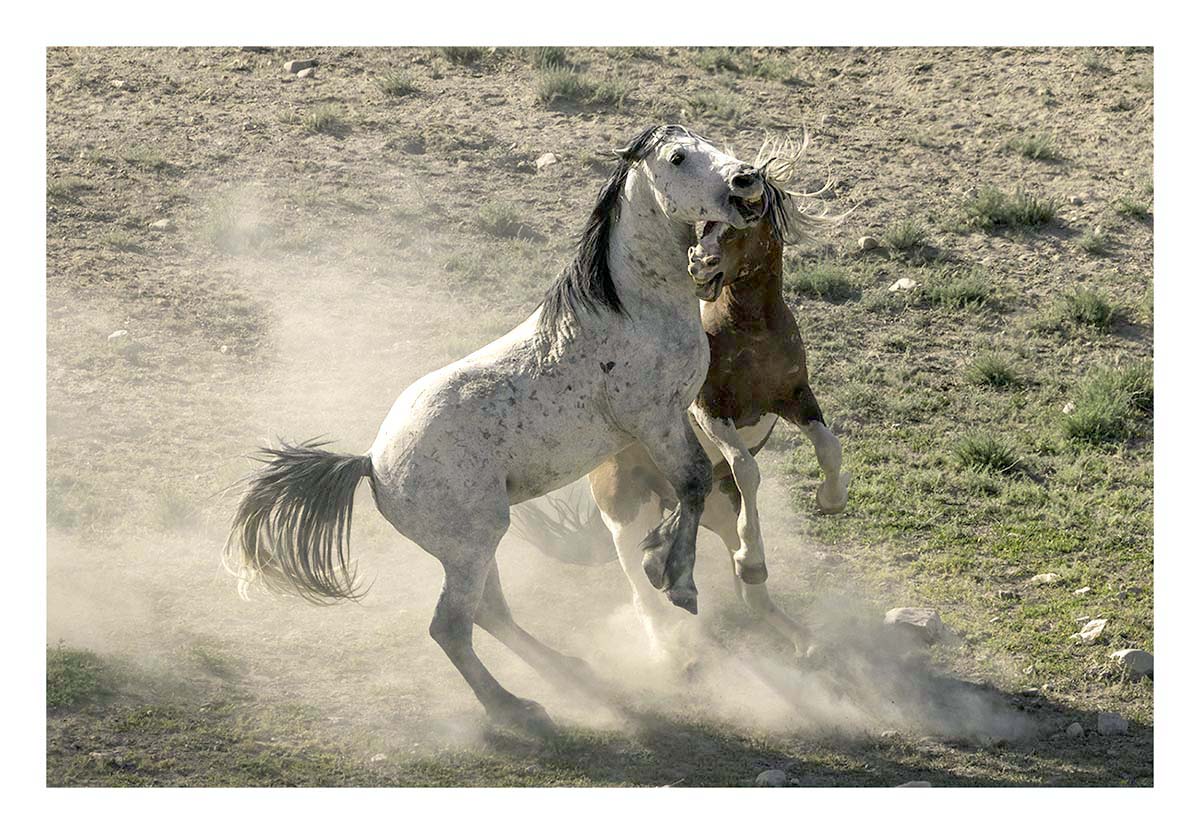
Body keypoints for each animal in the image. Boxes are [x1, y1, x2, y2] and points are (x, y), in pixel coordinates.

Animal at [225, 125, 802, 735]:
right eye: (678, 157)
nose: (747, 181)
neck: (633, 311)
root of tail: (372, 464)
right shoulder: (656, 420)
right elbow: (693, 483)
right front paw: (674, 577)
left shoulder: (677, 417)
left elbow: (707, 484)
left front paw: (681, 563)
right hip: (472, 545)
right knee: (451, 627)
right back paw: (514, 708)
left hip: (474, 545)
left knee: (490, 612)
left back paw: (569, 672)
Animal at [511, 137, 849, 660]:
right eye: (702, 223)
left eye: (746, 217)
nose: (700, 265)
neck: (750, 331)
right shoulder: (709, 410)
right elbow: (746, 467)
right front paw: (756, 551)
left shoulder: (796, 397)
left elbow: (828, 447)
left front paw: (830, 499)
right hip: (627, 520)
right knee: (643, 594)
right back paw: (674, 652)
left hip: (715, 510)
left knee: (749, 593)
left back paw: (801, 637)